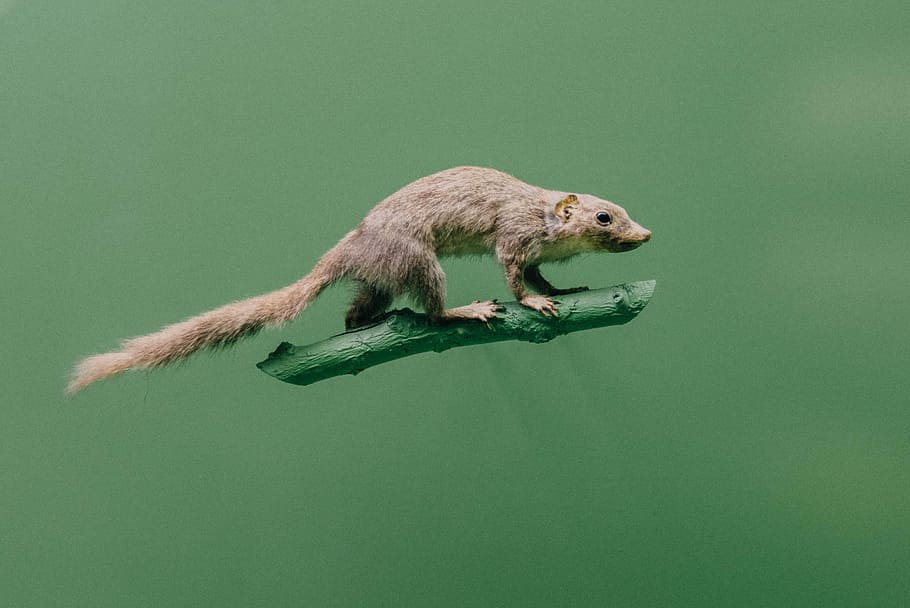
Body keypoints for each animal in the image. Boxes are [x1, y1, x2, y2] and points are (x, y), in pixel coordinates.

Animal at [68, 166, 651, 393]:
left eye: (623, 211)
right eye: (605, 218)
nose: (645, 234)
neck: (544, 219)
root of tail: (348, 248)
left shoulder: (535, 254)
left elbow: (541, 277)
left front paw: (564, 290)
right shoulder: (512, 239)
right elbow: (515, 279)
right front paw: (532, 303)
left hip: (382, 279)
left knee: (353, 311)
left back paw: (368, 326)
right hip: (419, 260)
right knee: (431, 308)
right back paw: (464, 311)